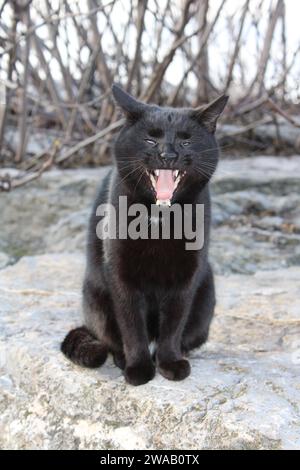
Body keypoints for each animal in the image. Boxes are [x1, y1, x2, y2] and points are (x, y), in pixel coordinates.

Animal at [61, 84, 227, 386]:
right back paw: (124, 358)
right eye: (150, 140)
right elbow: (131, 326)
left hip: (206, 301)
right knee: (111, 339)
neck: (159, 218)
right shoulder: (120, 273)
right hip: (95, 297)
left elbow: (173, 324)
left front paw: (170, 363)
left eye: (186, 142)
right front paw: (138, 369)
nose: (168, 155)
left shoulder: (187, 274)